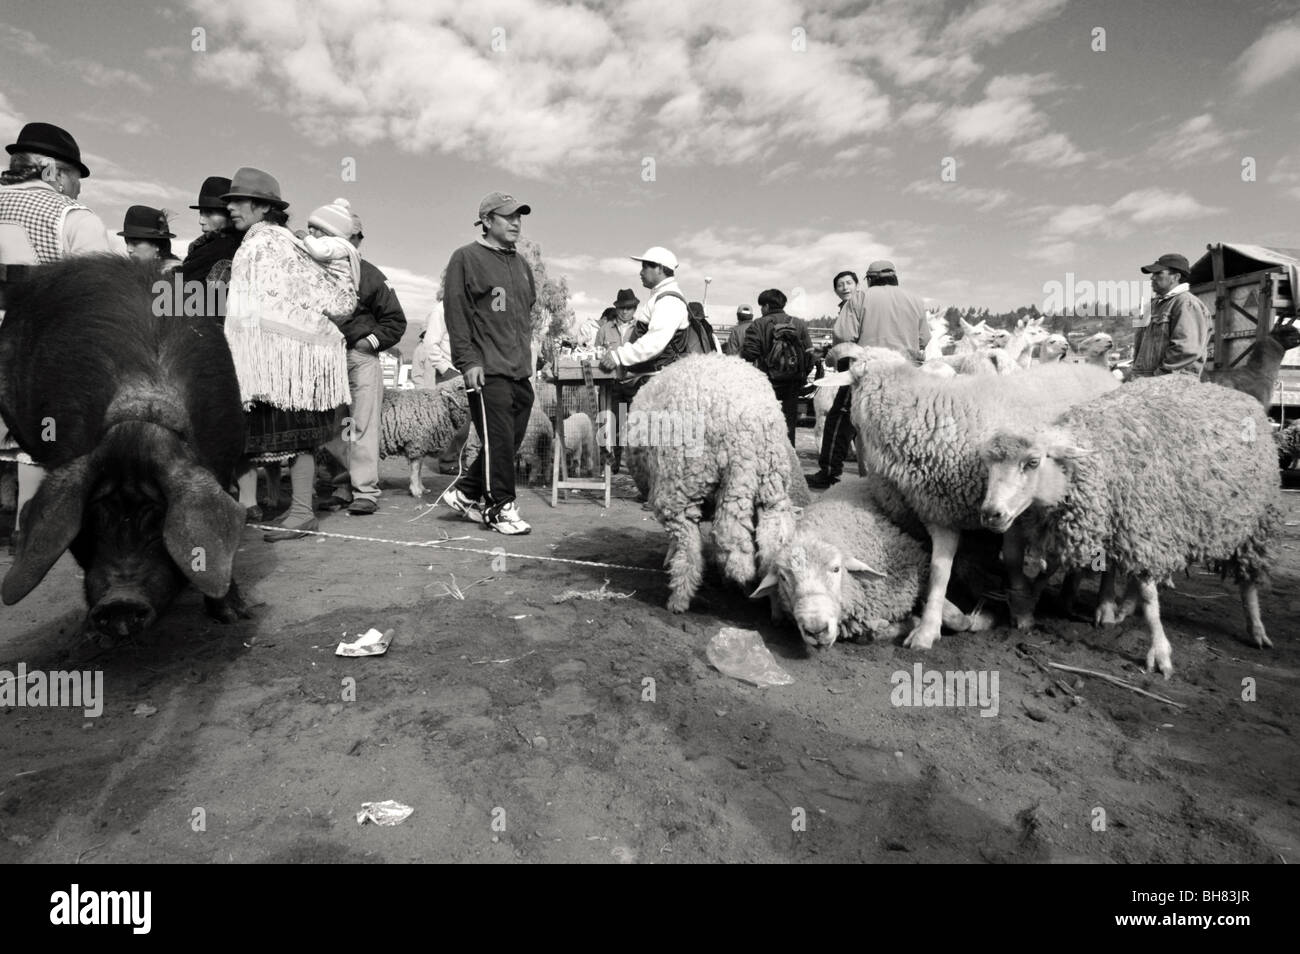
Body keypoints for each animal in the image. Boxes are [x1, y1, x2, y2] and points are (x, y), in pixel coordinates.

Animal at [0, 256, 250, 642]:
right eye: (92, 521)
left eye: (158, 519)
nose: (120, 603)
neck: (140, 416)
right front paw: (89, 635)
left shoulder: (226, 466)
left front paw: (236, 616)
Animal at [629, 356, 800, 616]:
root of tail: (744, 433)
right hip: (771, 484)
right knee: (772, 541)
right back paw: (773, 606)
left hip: (678, 487)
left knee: (691, 547)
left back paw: (679, 599)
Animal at [754, 486, 993, 649]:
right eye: (784, 578)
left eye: (836, 569)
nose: (815, 630)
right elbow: (871, 634)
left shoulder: (917, 566)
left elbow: (953, 613)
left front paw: (973, 619)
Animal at [842, 348, 1118, 655]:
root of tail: (1101, 371)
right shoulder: (939, 512)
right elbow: (939, 571)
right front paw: (928, 629)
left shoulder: (1011, 509)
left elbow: (1012, 559)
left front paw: (1022, 610)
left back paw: (1104, 607)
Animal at [982, 374, 1279, 681]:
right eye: (987, 464)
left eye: (1032, 462)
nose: (991, 514)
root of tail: (1238, 395)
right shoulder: (1097, 523)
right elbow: (1051, 570)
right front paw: (1027, 606)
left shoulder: (1144, 525)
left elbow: (1150, 597)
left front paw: (1159, 651)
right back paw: (1118, 607)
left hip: (1256, 524)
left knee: (1248, 580)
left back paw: (1256, 628)